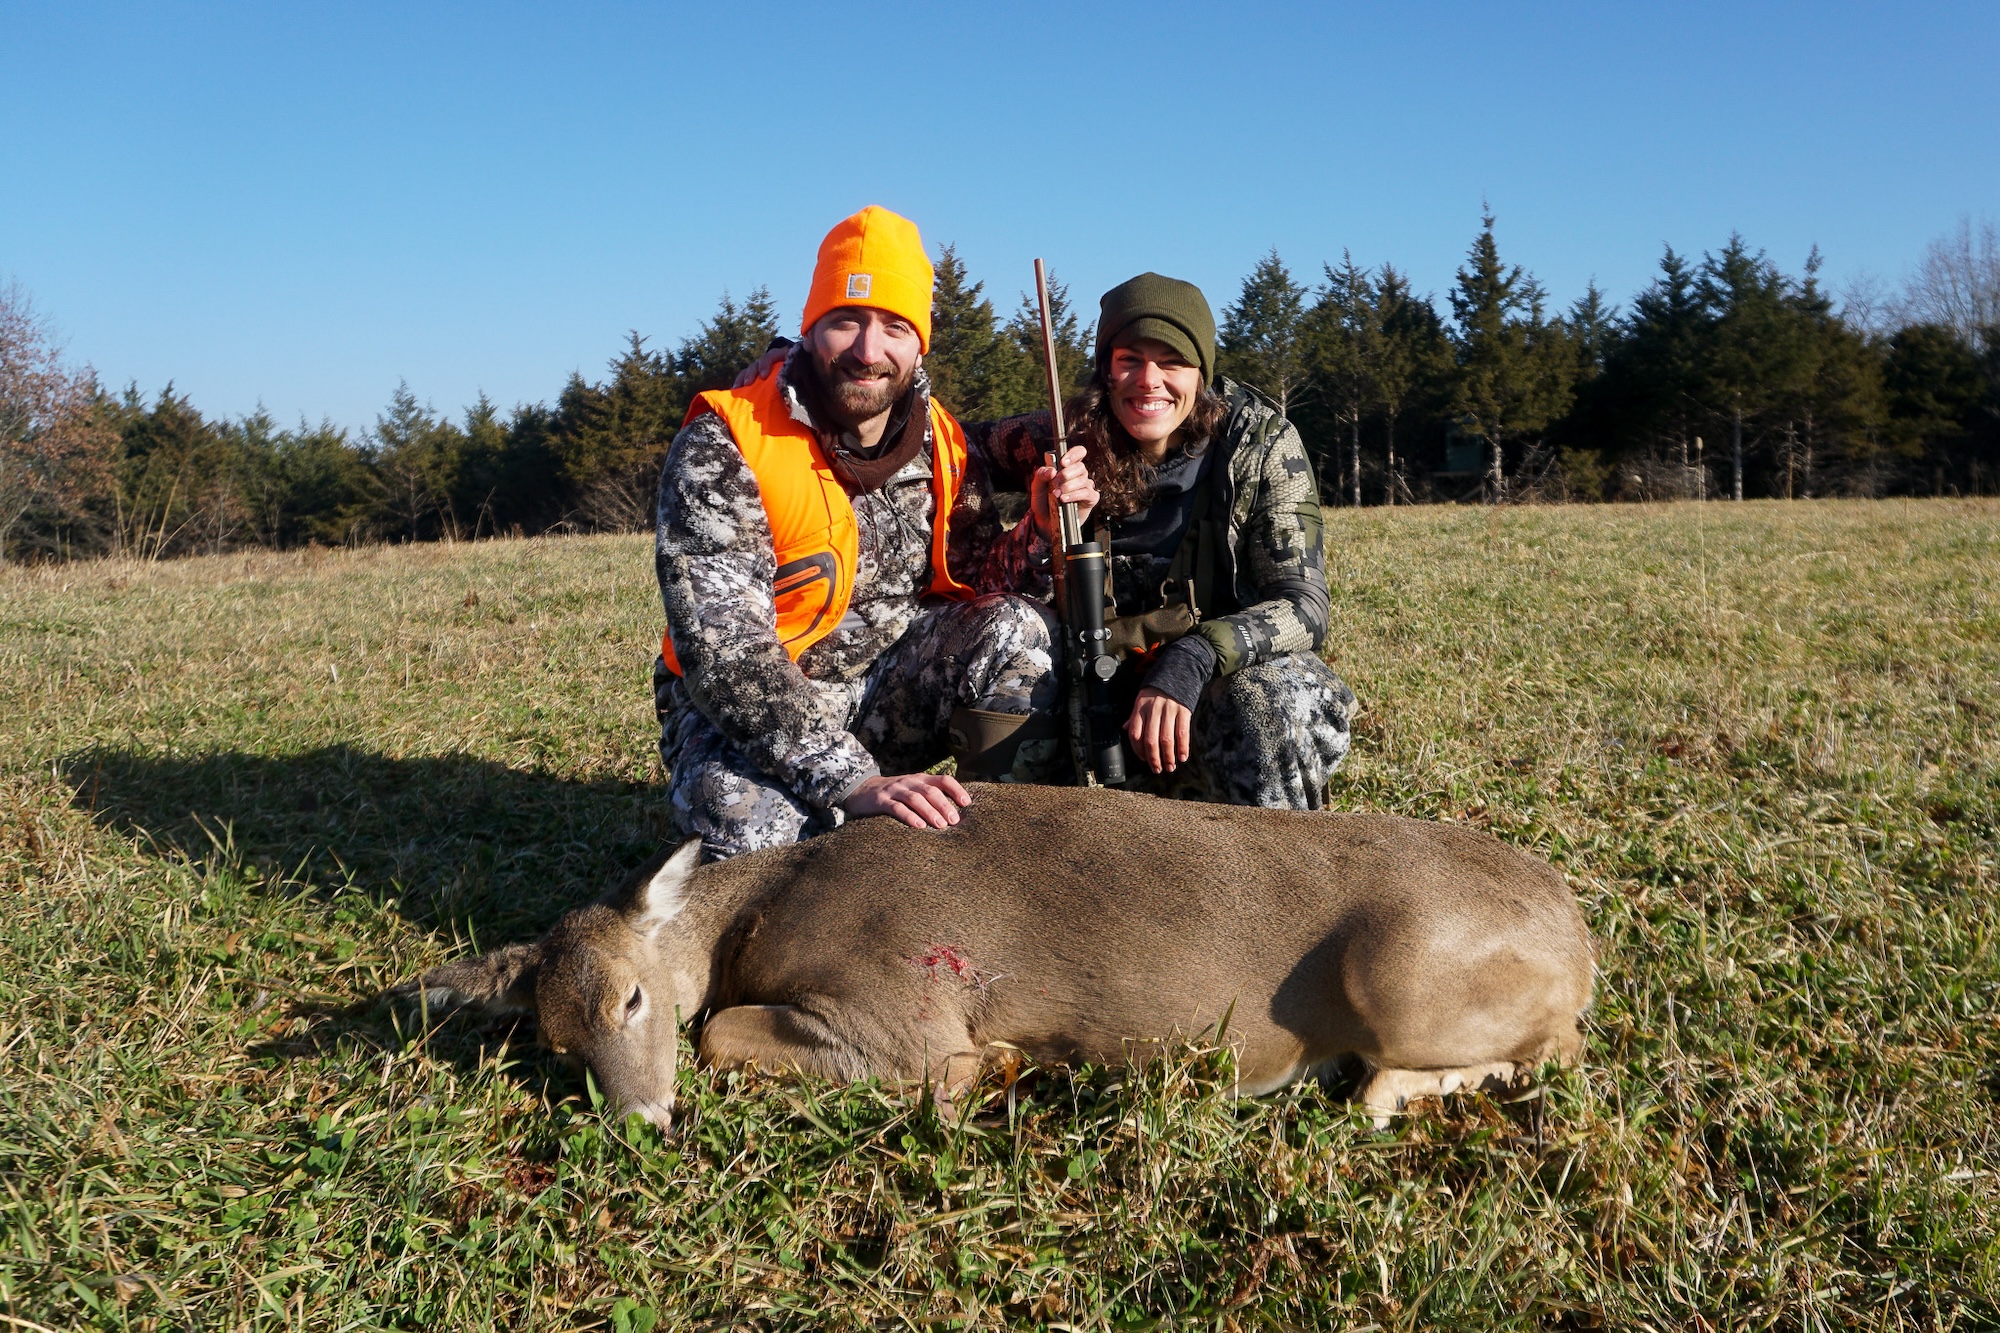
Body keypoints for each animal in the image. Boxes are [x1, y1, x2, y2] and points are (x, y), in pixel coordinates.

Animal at [394, 784, 1592, 1128]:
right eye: (554, 1043)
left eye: (636, 997)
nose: (640, 1118)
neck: (759, 914)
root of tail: (1580, 939)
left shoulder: (902, 1018)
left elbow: (727, 1031)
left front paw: (999, 1068)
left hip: (1400, 973)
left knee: (1557, 1048)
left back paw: (1378, 1092)